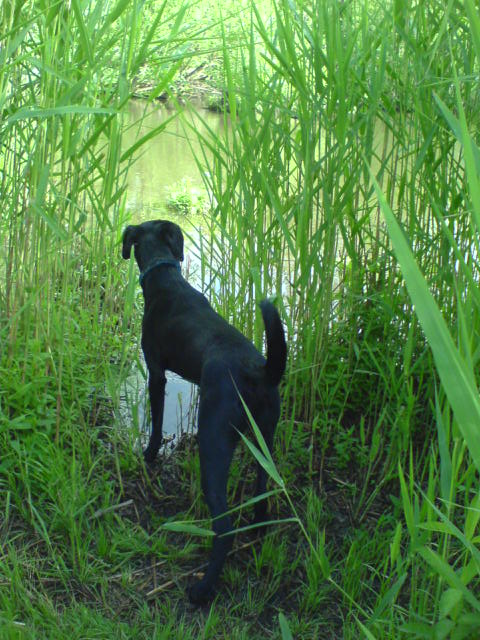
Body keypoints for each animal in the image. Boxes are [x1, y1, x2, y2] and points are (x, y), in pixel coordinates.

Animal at [122, 221, 286, 604]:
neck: (165, 277)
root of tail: (258, 372)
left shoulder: (155, 372)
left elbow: (155, 425)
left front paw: (149, 455)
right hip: (265, 438)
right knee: (262, 493)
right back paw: (257, 529)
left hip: (212, 443)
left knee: (223, 528)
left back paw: (202, 589)